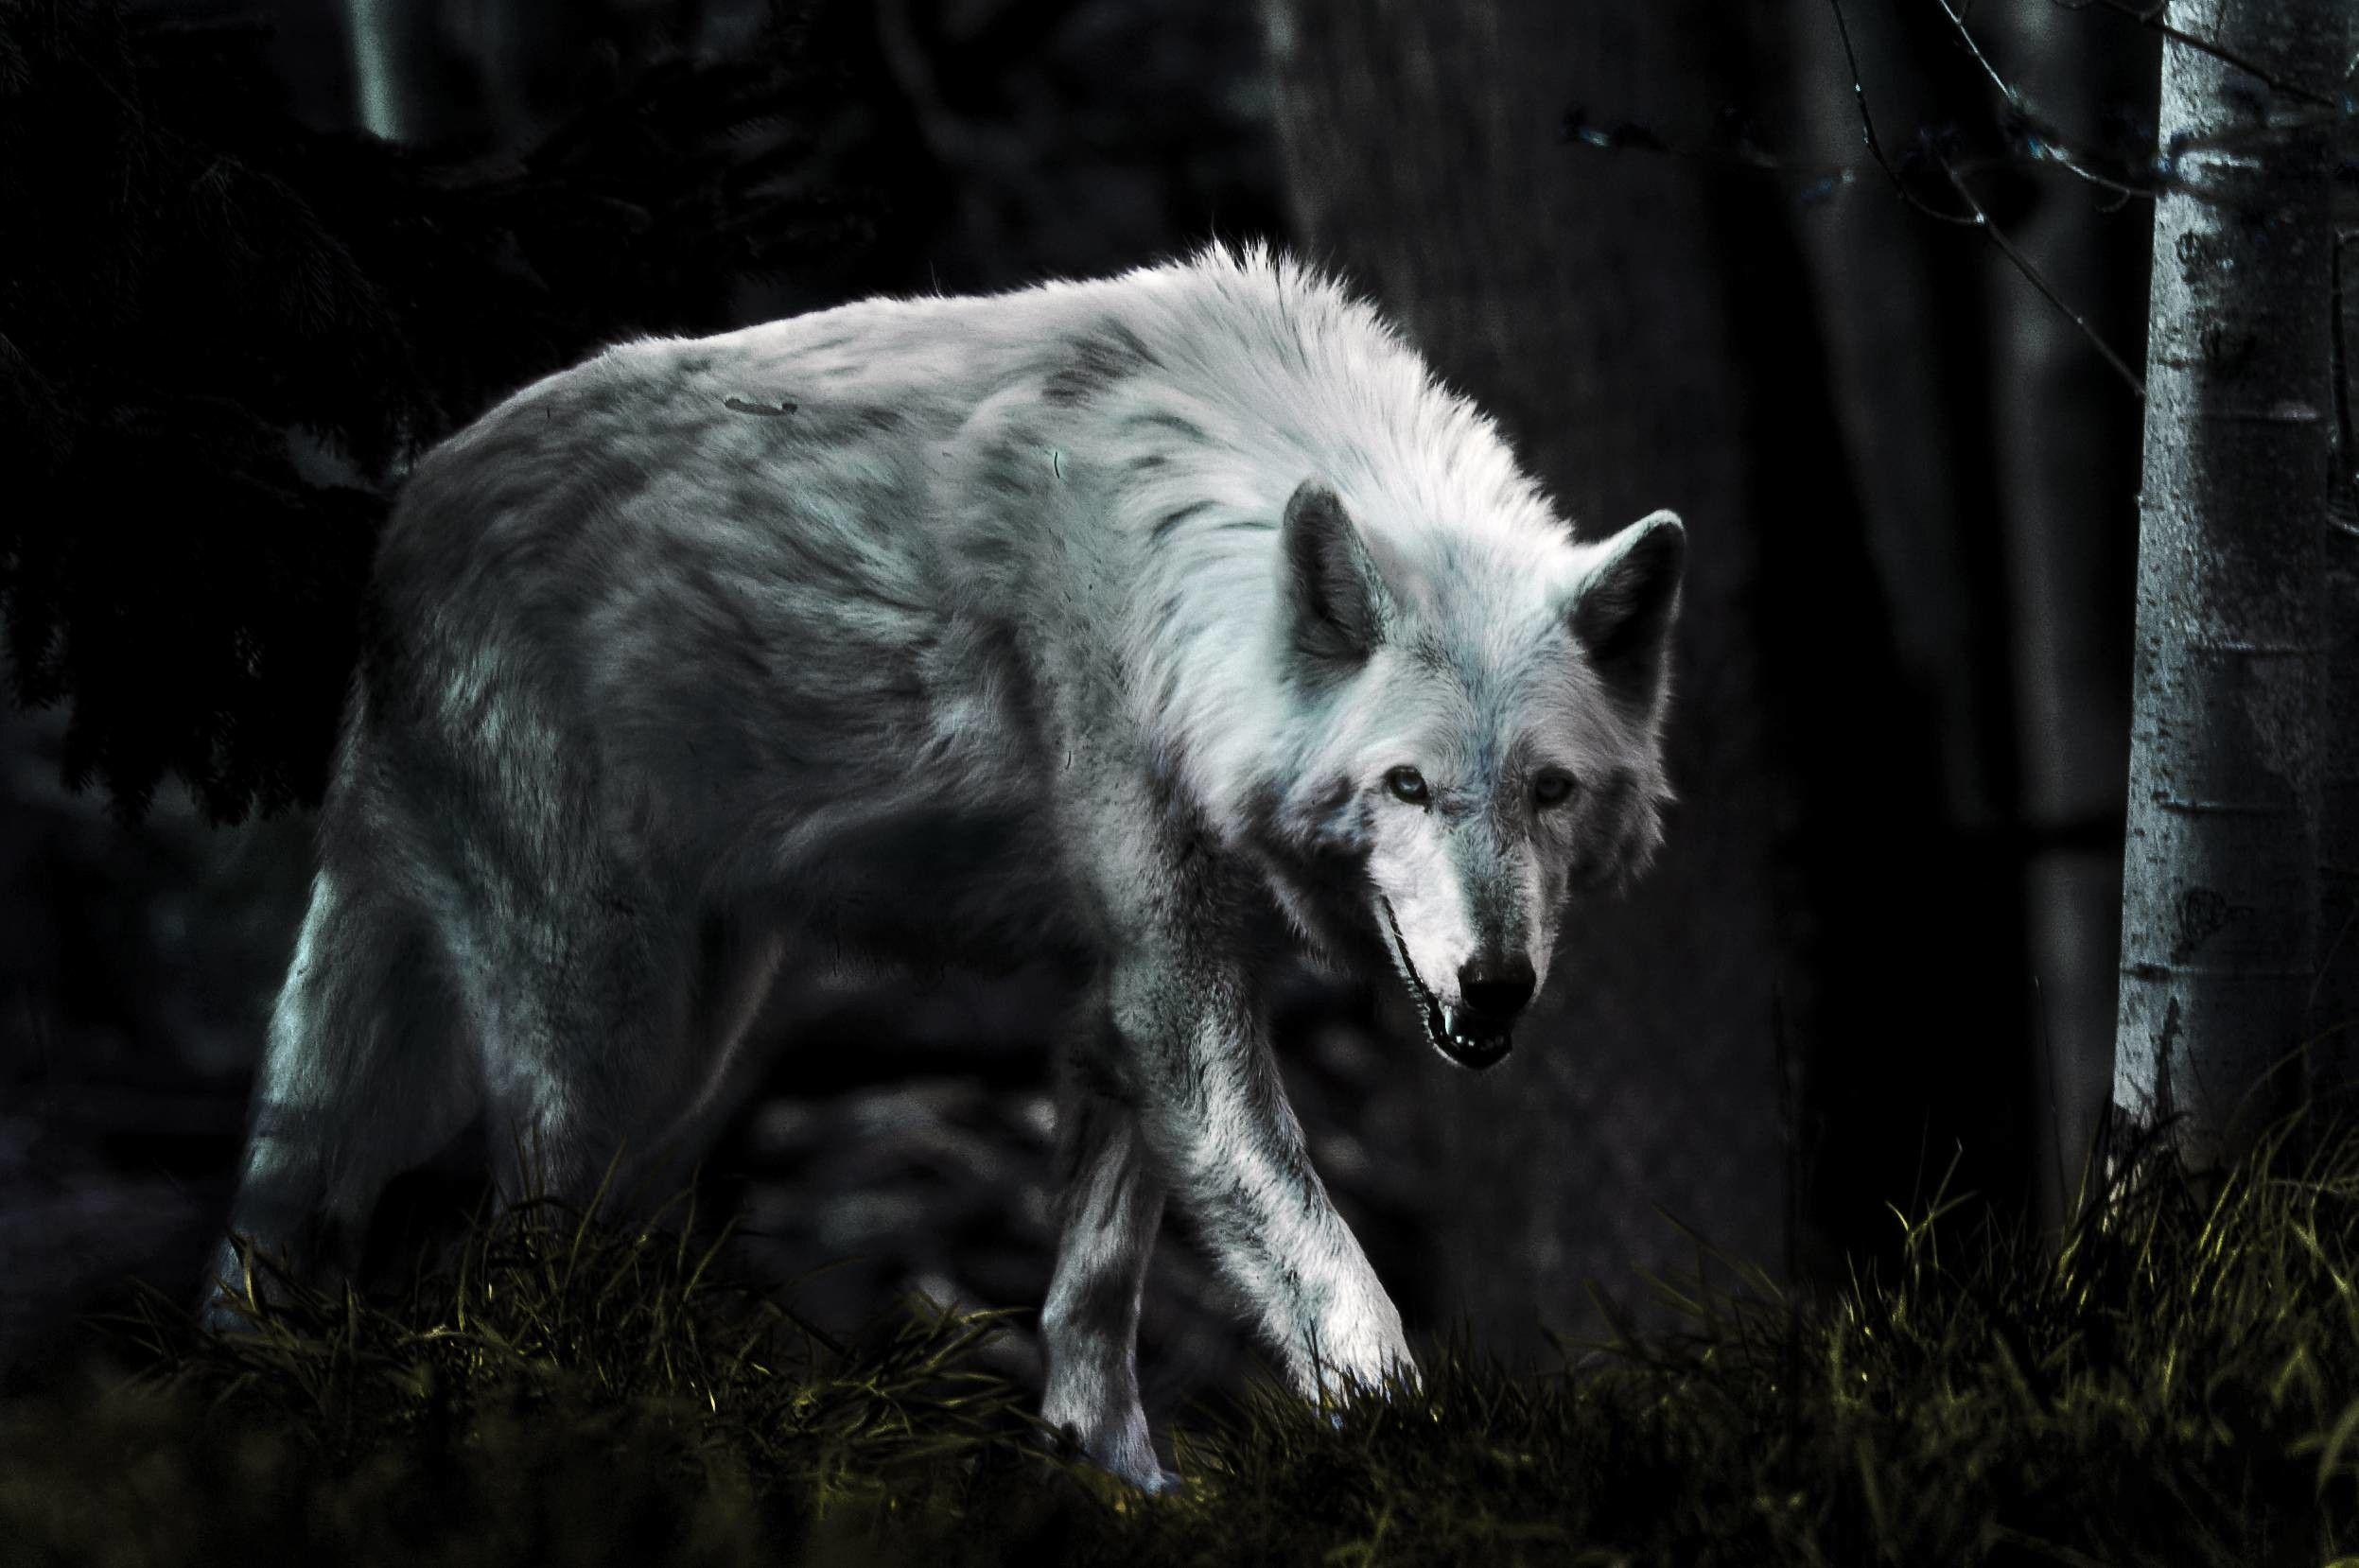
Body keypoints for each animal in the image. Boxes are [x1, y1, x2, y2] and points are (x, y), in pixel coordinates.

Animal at [202, 245, 1685, 1492]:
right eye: (1405, 785)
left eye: (1548, 790)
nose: (1494, 987)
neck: (1182, 562)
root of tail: (398, 530)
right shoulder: (1175, 999)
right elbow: (1336, 1275)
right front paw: (1417, 1462)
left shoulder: (1124, 1008)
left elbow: (1091, 1299)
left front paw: (1112, 1483)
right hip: (599, 1044)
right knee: (507, 1266)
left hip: (693, 1054)